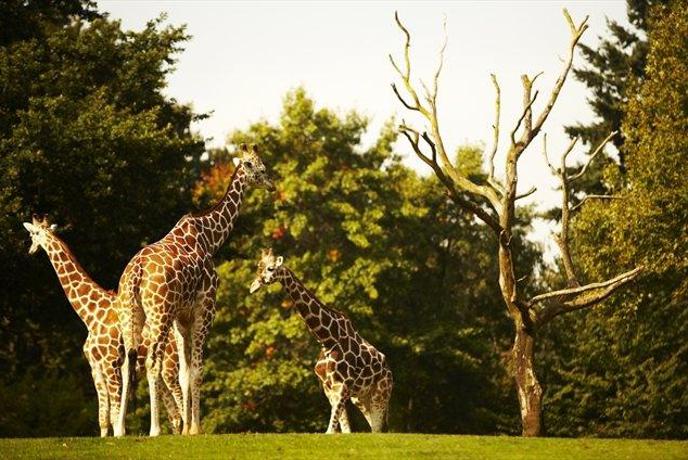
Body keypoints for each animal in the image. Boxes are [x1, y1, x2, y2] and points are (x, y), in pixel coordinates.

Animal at [23, 217, 184, 436]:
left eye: (34, 234)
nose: (30, 250)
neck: (90, 315)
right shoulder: (95, 367)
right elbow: (103, 417)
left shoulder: (111, 363)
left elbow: (115, 415)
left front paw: (120, 435)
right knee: (174, 414)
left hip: (169, 367)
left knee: (181, 402)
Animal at [114, 143, 272, 434]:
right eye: (261, 168)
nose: (272, 185)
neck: (211, 238)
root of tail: (136, 273)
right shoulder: (204, 309)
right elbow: (197, 370)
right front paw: (196, 428)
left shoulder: (181, 318)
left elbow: (184, 373)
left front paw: (187, 429)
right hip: (159, 314)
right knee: (152, 362)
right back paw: (155, 429)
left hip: (131, 313)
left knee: (127, 363)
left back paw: (120, 430)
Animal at [250, 248, 396, 432]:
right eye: (258, 267)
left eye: (270, 268)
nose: (254, 286)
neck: (327, 339)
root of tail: (388, 369)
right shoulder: (330, 389)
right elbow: (343, 430)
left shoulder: (342, 386)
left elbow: (330, 430)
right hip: (361, 398)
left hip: (380, 394)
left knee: (377, 429)